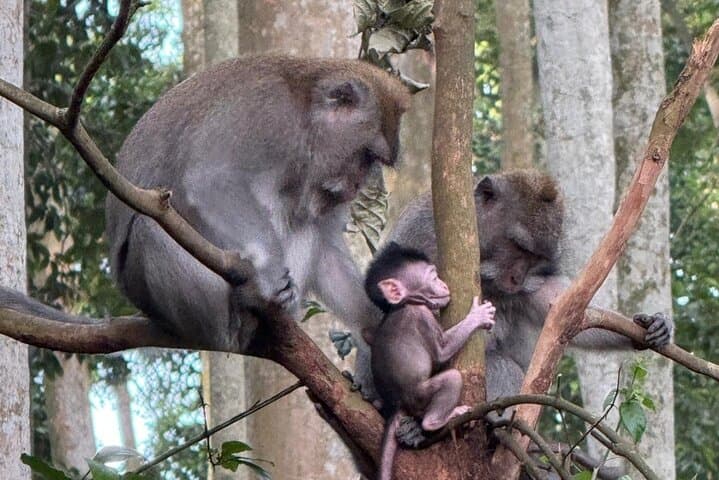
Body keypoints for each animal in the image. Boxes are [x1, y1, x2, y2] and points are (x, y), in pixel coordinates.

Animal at [101, 55, 410, 352]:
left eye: (373, 160)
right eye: (367, 155)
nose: (357, 185)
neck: (304, 109)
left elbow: (326, 245)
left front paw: (372, 319)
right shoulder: (270, 114)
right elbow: (210, 181)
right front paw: (270, 275)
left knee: (305, 224)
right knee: (150, 226)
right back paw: (242, 309)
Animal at [363, 242, 496, 480]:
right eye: (433, 277)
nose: (442, 283)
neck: (404, 303)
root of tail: (397, 405)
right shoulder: (422, 317)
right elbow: (442, 352)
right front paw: (477, 317)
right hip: (418, 396)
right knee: (452, 379)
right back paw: (439, 420)